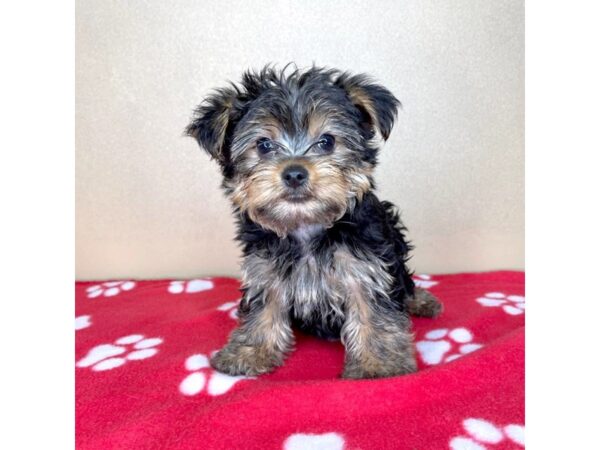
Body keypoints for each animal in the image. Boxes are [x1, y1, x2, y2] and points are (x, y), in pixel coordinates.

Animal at [185, 65, 442, 378]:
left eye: (327, 141)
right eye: (264, 145)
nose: (295, 173)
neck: (306, 224)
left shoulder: (365, 267)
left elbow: (373, 310)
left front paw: (378, 364)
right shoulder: (265, 267)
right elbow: (263, 308)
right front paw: (249, 352)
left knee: (404, 280)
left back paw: (420, 300)